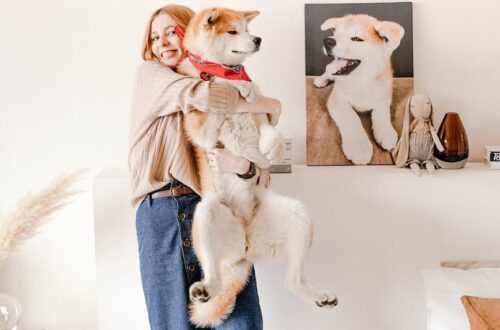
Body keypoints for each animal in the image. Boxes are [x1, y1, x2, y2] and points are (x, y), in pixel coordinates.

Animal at [178, 7, 338, 328]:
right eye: (233, 31)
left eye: (247, 29)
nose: (258, 39)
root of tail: (247, 249)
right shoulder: (202, 130)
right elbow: (218, 91)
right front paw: (234, 85)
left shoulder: (263, 115)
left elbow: (270, 131)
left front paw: (272, 149)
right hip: (209, 213)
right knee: (214, 273)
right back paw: (206, 288)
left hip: (297, 216)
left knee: (293, 281)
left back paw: (319, 295)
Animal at [314, 14, 404, 165]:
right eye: (336, 34)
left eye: (356, 39)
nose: (328, 41)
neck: (361, 81)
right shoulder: (337, 100)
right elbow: (352, 118)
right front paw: (359, 146)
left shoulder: (383, 97)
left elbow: (382, 113)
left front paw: (385, 131)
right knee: (327, 72)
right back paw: (321, 80)